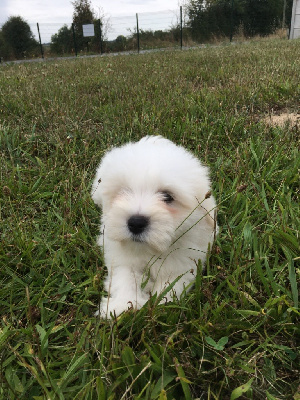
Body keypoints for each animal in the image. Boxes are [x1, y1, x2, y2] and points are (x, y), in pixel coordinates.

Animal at [90, 136, 217, 318]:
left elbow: (171, 286)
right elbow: (125, 278)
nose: (136, 222)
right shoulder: (122, 258)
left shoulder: (182, 262)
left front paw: (160, 307)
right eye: (123, 192)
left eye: (167, 196)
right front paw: (122, 306)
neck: (149, 249)